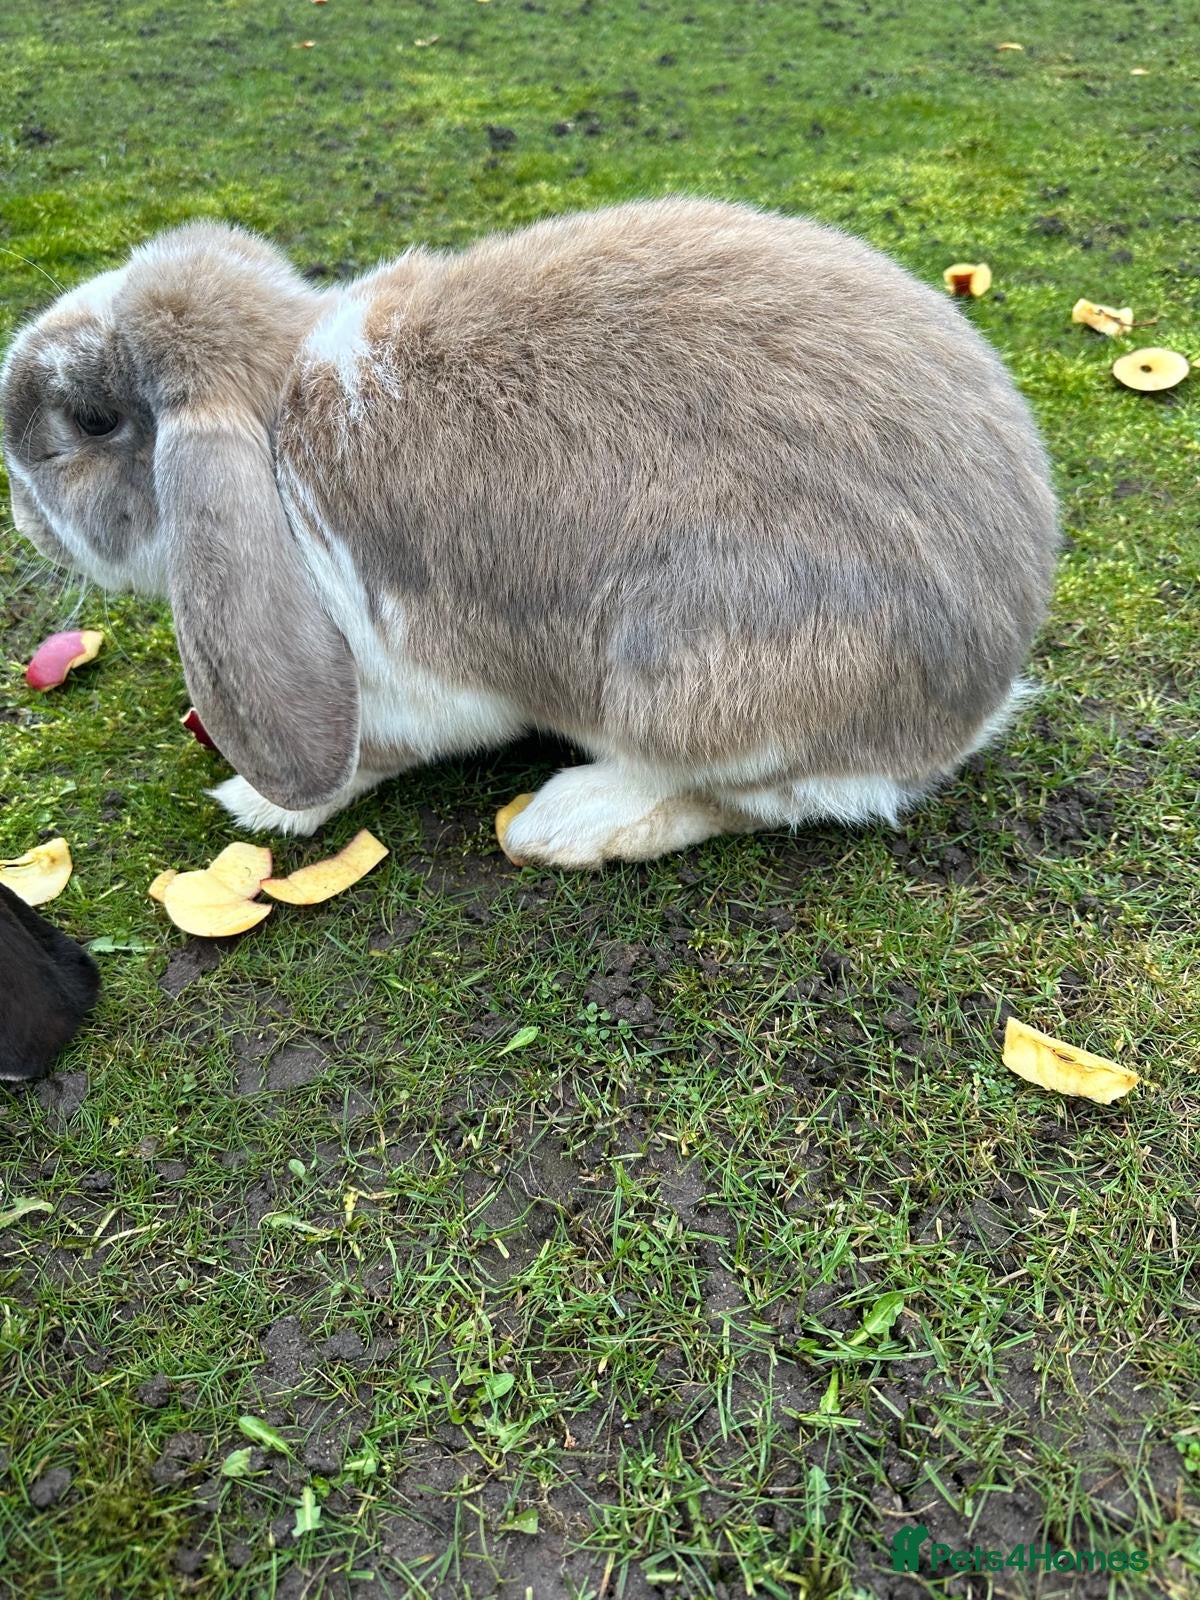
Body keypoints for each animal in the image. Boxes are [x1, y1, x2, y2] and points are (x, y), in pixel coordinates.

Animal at [1, 198, 1058, 867]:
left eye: (93, 421)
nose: (17, 509)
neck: (277, 424)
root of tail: (981, 688)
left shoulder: (407, 678)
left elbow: (376, 753)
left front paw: (260, 805)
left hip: (688, 678)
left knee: (765, 795)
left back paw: (565, 825)